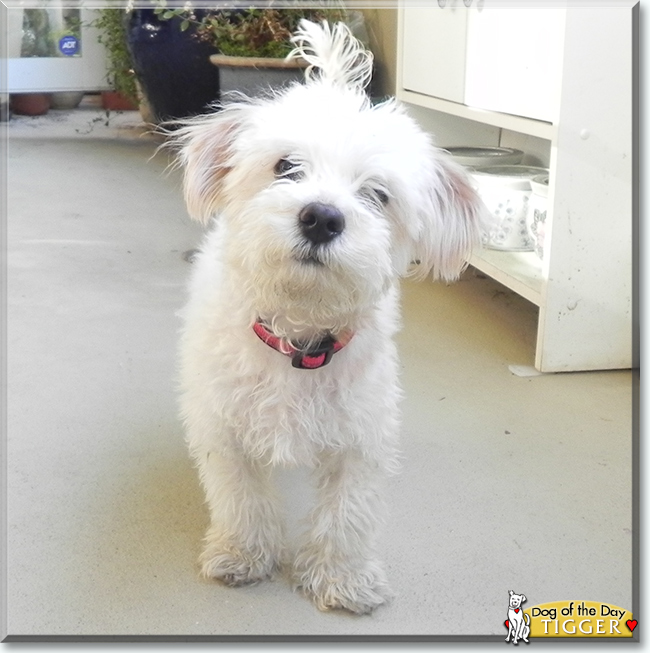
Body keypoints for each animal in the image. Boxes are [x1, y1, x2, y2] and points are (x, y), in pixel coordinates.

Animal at [170, 19, 484, 612]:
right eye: (285, 167)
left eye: (378, 195)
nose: (321, 217)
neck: (299, 336)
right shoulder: (226, 430)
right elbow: (241, 497)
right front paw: (243, 555)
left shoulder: (361, 438)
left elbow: (348, 512)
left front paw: (343, 578)